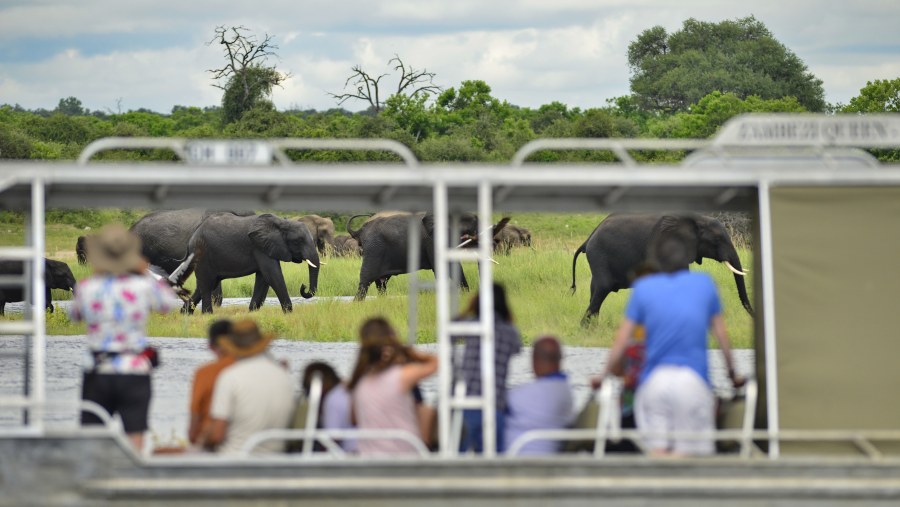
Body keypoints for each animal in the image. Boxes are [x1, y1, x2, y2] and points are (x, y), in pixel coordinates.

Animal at [174, 211, 318, 314]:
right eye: (298, 241)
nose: (303, 286)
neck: (282, 223)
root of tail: (191, 239)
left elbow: (263, 279)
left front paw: (252, 313)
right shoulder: (259, 247)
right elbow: (273, 276)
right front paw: (289, 313)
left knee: (204, 284)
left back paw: (184, 314)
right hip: (202, 254)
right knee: (207, 284)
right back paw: (207, 315)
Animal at [346, 211, 506, 300]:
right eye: (473, 231)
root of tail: (359, 231)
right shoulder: (434, 241)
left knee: (381, 282)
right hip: (373, 250)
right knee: (366, 280)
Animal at [568, 213, 752, 326]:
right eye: (717, 239)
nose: (753, 316)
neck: (695, 219)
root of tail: (588, 238)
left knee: (595, 291)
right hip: (599, 254)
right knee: (602, 288)